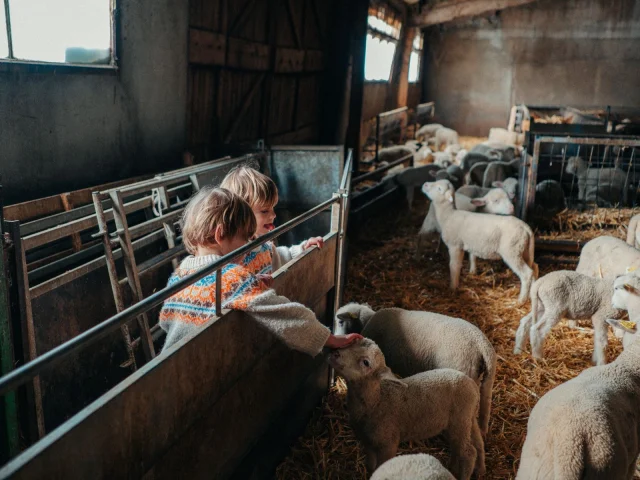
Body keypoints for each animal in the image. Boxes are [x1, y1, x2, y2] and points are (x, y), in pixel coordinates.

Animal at [330, 338, 484, 476]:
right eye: (352, 343)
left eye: (366, 362)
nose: (335, 353)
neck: (376, 401)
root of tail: (472, 385)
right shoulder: (368, 443)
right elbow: (370, 467)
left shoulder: (388, 444)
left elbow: (382, 466)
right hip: (468, 419)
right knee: (476, 443)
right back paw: (472, 470)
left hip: (460, 421)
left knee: (468, 452)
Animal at [422, 178, 536, 306]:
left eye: (439, 188)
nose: (425, 184)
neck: (448, 215)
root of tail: (526, 228)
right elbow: (469, 258)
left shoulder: (455, 245)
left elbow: (454, 266)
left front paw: (453, 287)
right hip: (524, 249)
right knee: (535, 268)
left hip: (512, 251)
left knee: (527, 274)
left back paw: (521, 301)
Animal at [516, 278, 640, 476]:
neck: (627, 365)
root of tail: (569, 454)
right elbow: (601, 340)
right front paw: (600, 359)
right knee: (538, 329)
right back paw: (537, 357)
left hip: (533, 468)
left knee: (526, 322)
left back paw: (519, 350)